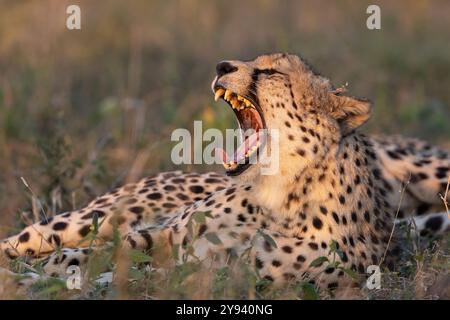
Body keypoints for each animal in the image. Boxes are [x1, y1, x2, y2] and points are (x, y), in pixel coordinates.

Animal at [0, 53, 450, 292]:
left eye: (272, 72)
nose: (222, 65)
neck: (278, 191)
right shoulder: (168, 236)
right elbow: (112, 249)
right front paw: (56, 269)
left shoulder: (225, 274)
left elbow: (141, 273)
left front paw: (53, 278)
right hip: (90, 216)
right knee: (28, 239)